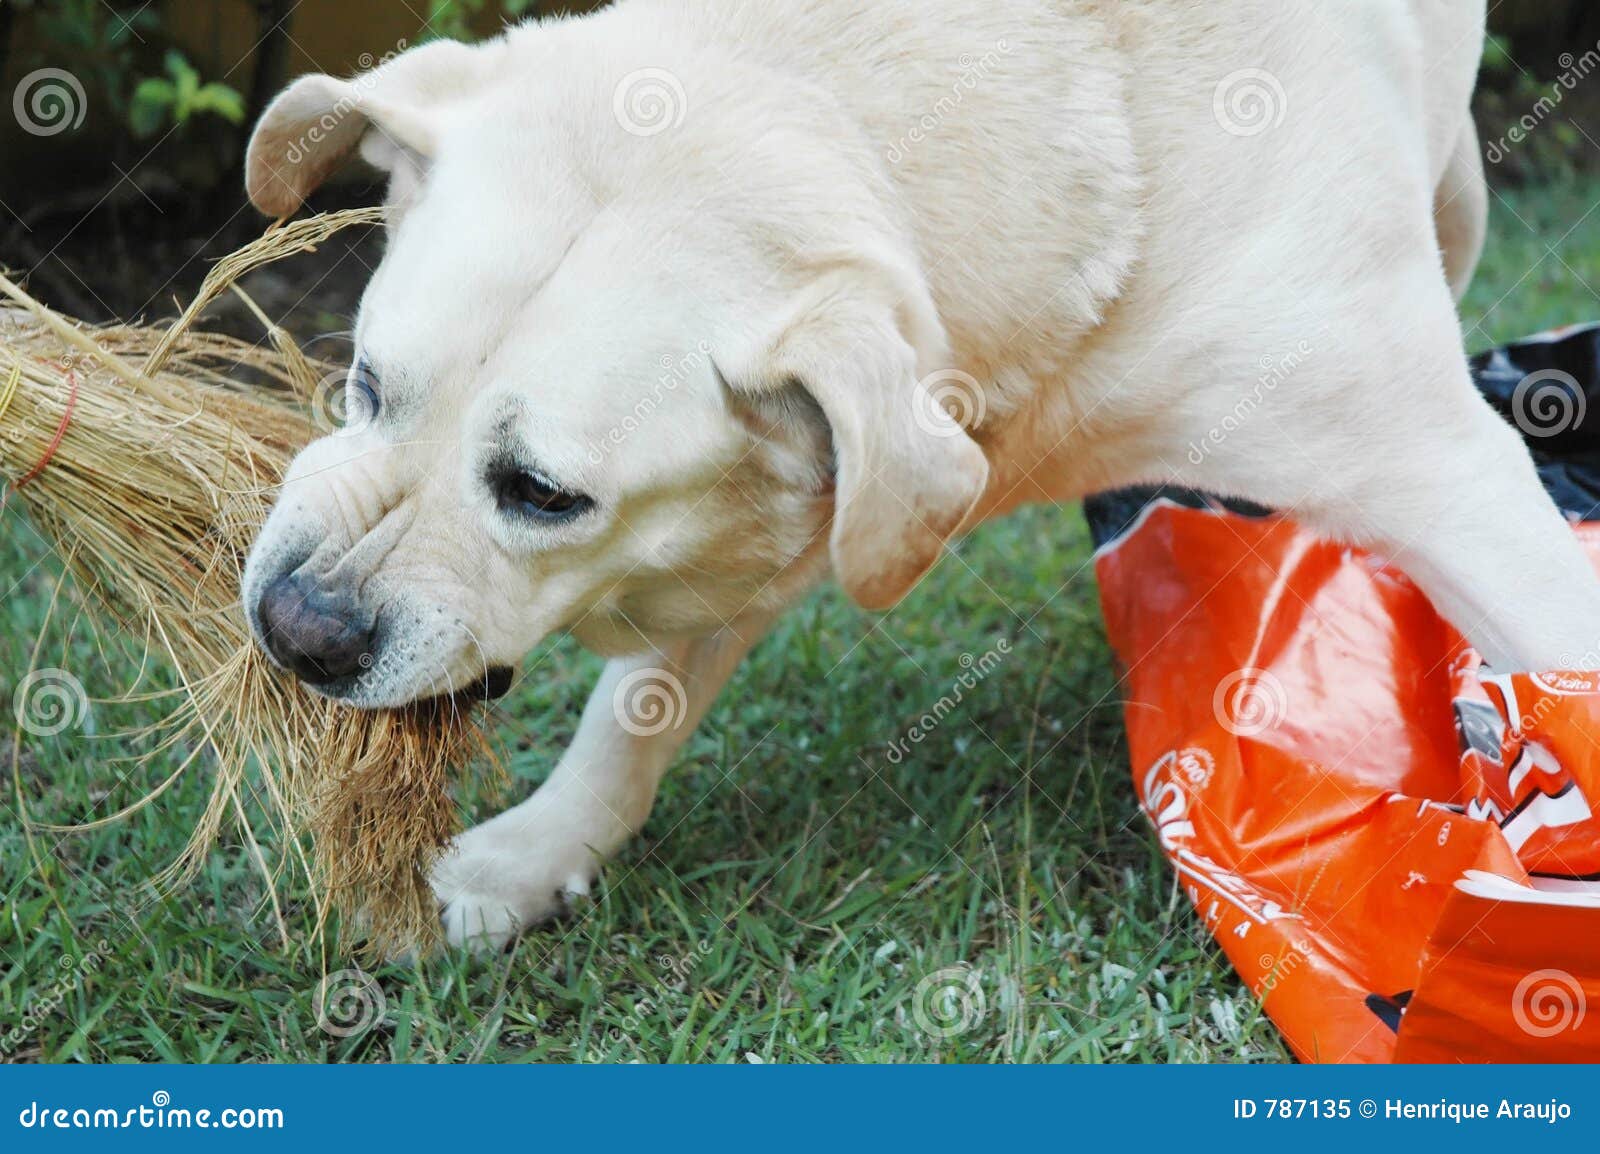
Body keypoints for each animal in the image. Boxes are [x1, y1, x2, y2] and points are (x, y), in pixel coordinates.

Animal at [236, 0, 1600, 947]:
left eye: (541, 493)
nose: (295, 627)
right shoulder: (804, 495)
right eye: (366, 382)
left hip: (1457, 196)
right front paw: (536, 851)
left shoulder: (1448, 482)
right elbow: (638, 704)